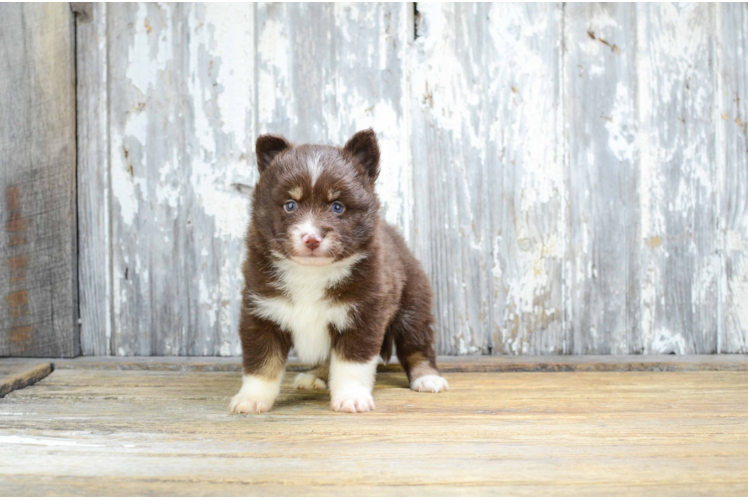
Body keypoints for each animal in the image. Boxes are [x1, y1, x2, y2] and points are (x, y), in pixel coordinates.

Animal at [231, 128, 448, 414]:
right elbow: (261, 363)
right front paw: (251, 398)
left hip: (413, 302)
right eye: (290, 205)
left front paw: (351, 398)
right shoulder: (262, 312)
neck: (311, 273)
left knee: (417, 345)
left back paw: (428, 377)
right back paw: (315, 376)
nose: (312, 238)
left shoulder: (363, 313)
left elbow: (351, 364)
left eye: (337, 206)